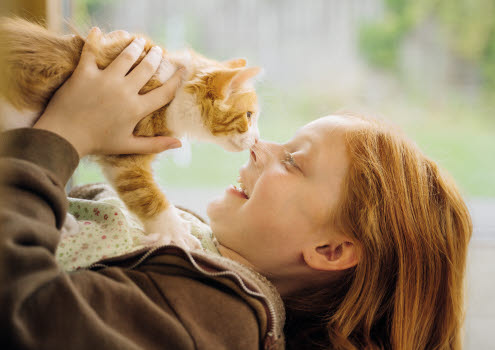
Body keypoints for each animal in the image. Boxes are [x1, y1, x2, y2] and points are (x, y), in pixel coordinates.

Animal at [0, 17, 262, 249]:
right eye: (249, 115)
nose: (257, 139)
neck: (174, 88)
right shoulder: (126, 154)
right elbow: (146, 193)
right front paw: (173, 230)